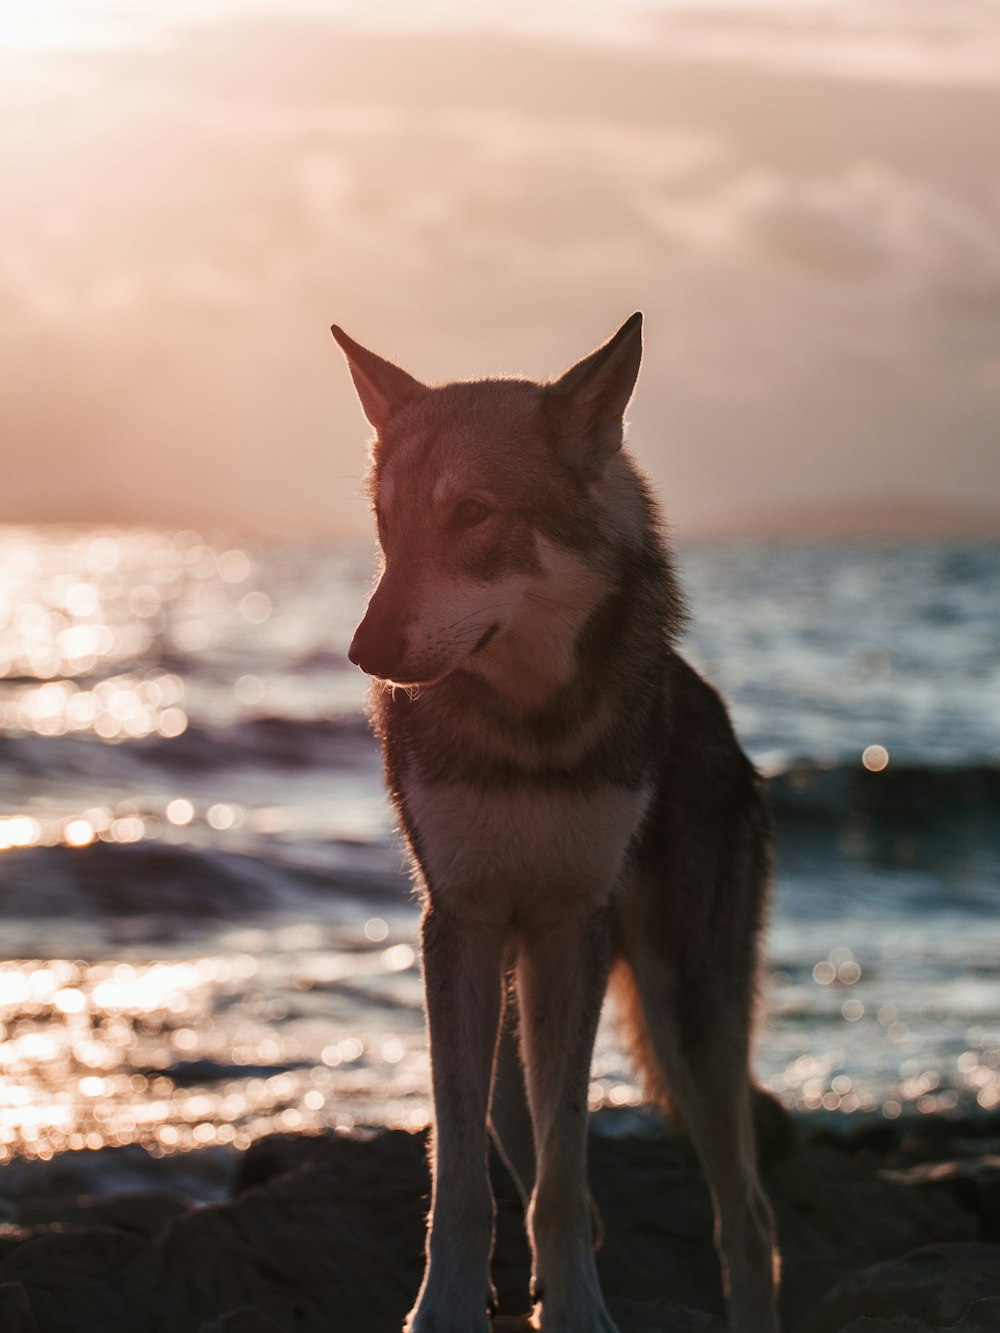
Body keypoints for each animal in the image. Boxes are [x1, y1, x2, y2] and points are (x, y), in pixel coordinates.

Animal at [333, 314, 778, 1333]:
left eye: (471, 514)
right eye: (387, 523)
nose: (365, 650)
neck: (529, 730)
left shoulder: (571, 926)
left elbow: (567, 1166)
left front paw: (575, 1304)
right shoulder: (459, 922)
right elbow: (462, 1170)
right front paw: (447, 1306)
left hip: (689, 1009)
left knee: (748, 1212)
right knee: (508, 1110)